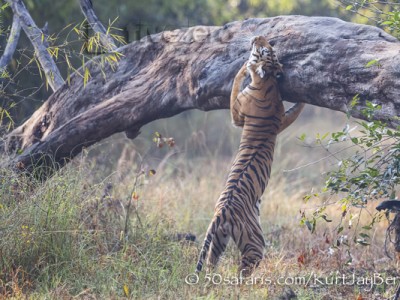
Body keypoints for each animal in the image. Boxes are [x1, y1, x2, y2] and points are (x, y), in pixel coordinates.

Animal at [195, 35, 304, 276]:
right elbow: (295, 111)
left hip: (246, 242)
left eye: (265, 49)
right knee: (216, 263)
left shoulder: (238, 115)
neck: (267, 81)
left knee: (234, 268)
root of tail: (222, 212)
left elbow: (235, 86)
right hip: (228, 239)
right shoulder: (279, 119)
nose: (257, 37)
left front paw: (244, 67)